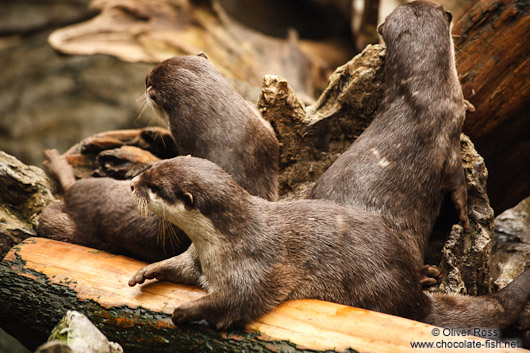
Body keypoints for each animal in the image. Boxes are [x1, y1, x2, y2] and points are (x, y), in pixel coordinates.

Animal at [127, 155, 528, 328]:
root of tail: (416, 296)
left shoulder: (255, 266)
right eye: (153, 167)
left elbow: (240, 300)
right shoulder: (199, 259)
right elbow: (179, 266)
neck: (224, 243)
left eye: (156, 187)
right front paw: (147, 271)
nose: (131, 183)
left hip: (375, 288)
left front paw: (187, 311)